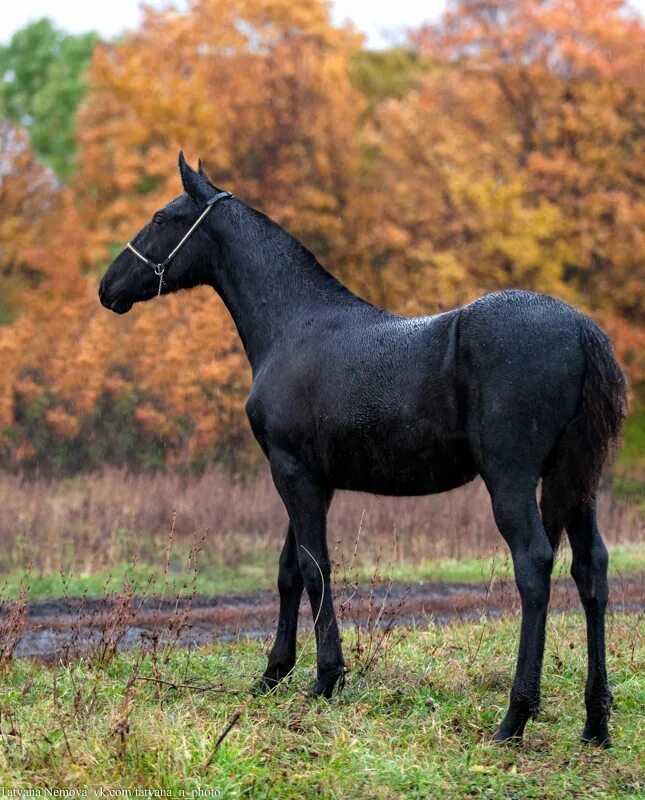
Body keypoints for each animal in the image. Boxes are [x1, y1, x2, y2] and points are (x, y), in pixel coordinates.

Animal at [99, 155, 624, 744]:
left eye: (161, 217)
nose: (107, 287)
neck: (296, 325)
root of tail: (580, 329)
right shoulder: (312, 478)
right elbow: (289, 570)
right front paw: (273, 674)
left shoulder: (292, 472)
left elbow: (314, 569)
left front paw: (325, 678)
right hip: (577, 480)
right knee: (591, 570)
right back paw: (595, 722)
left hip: (510, 480)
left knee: (534, 566)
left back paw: (514, 717)